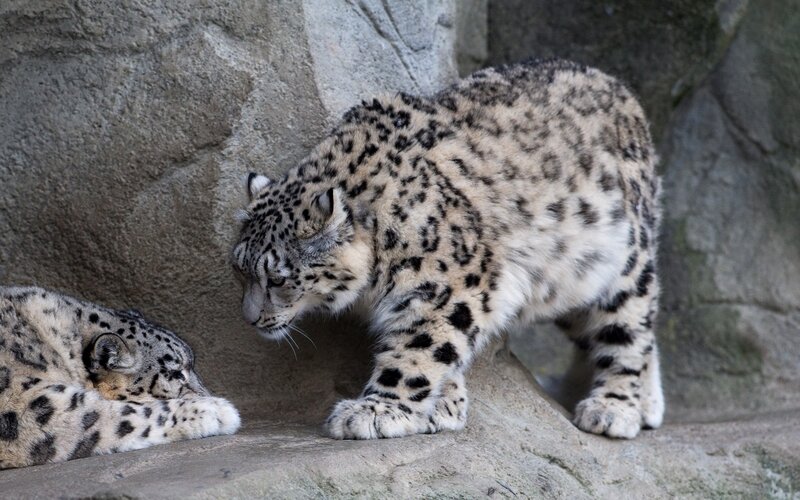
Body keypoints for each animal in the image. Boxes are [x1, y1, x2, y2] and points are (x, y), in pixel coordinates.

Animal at [231, 59, 664, 440]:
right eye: (239, 269)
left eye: (278, 279)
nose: (250, 319)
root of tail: (618, 86)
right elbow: (447, 346)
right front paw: (445, 404)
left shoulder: (450, 287)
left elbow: (419, 348)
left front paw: (376, 410)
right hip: (569, 277)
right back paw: (649, 403)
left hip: (622, 261)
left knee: (630, 328)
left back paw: (615, 408)